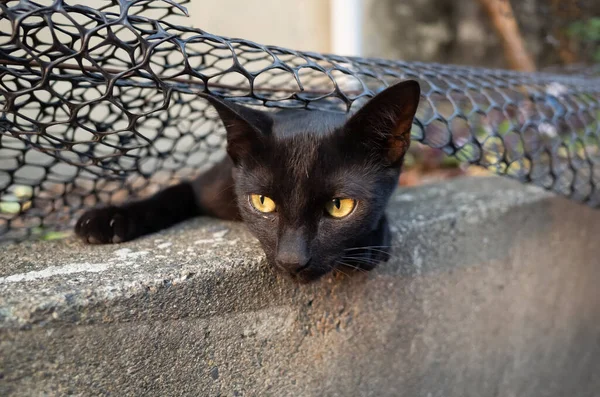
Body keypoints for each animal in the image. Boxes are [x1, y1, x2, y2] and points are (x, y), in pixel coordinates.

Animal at [76, 79, 422, 282]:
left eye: (339, 206)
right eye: (262, 202)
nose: (292, 261)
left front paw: (371, 240)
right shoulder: (208, 184)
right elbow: (172, 193)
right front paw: (108, 219)